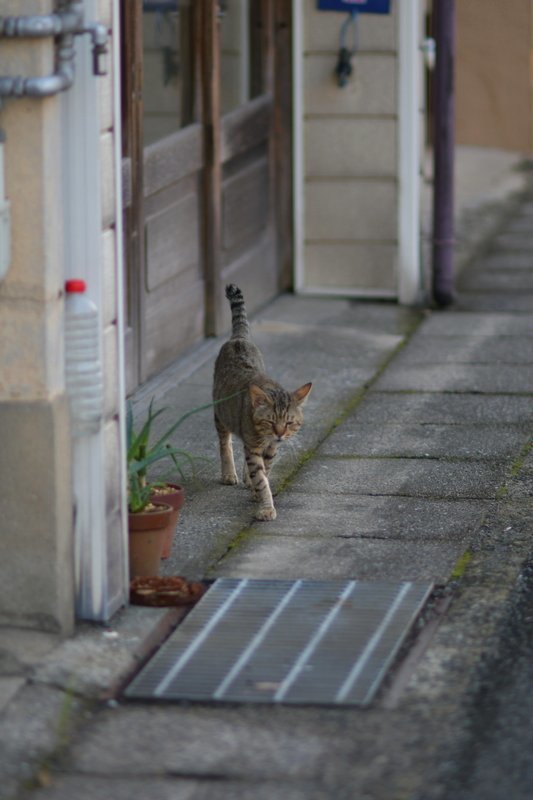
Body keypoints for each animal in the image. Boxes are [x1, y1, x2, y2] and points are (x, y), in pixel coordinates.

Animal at [213, 284, 312, 520]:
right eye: (270, 421)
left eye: (289, 423)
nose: (279, 434)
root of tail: (239, 338)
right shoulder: (255, 444)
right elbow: (260, 477)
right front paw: (265, 505)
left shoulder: (270, 449)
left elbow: (264, 472)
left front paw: (257, 492)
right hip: (220, 413)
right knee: (225, 443)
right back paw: (229, 473)